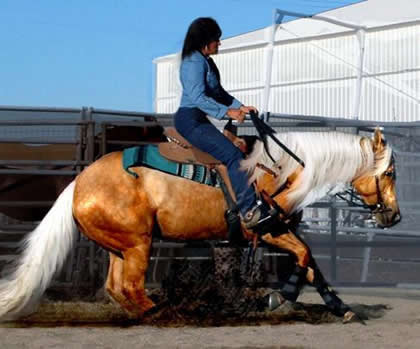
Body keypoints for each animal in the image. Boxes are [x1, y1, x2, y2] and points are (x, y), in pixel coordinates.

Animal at [0, 128, 400, 320]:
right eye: (390, 172)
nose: (394, 216)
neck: (283, 169)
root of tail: (79, 182)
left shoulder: (280, 230)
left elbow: (311, 263)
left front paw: (341, 307)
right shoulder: (267, 228)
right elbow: (303, 258)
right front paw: (277, 299)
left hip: (119, 246)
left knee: (116, 287)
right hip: (139, 243)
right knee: (130, 286)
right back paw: (167, 312)